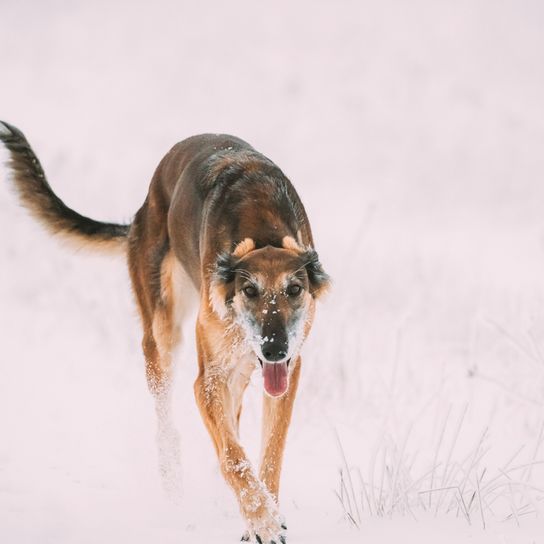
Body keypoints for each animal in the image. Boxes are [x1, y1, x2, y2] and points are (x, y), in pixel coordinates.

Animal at [0, 123, 330, 544]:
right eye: (249, 290)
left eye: (295, 289)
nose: (274, 349)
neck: (263, 230)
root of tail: (142, 208)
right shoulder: (208, 379)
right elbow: (233, 456)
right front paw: (262, 521)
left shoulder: (286, 372)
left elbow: (269, 452)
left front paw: (262, 513)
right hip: (162, 335)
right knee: (168, 427)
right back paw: (174, 487)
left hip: (235, 362)